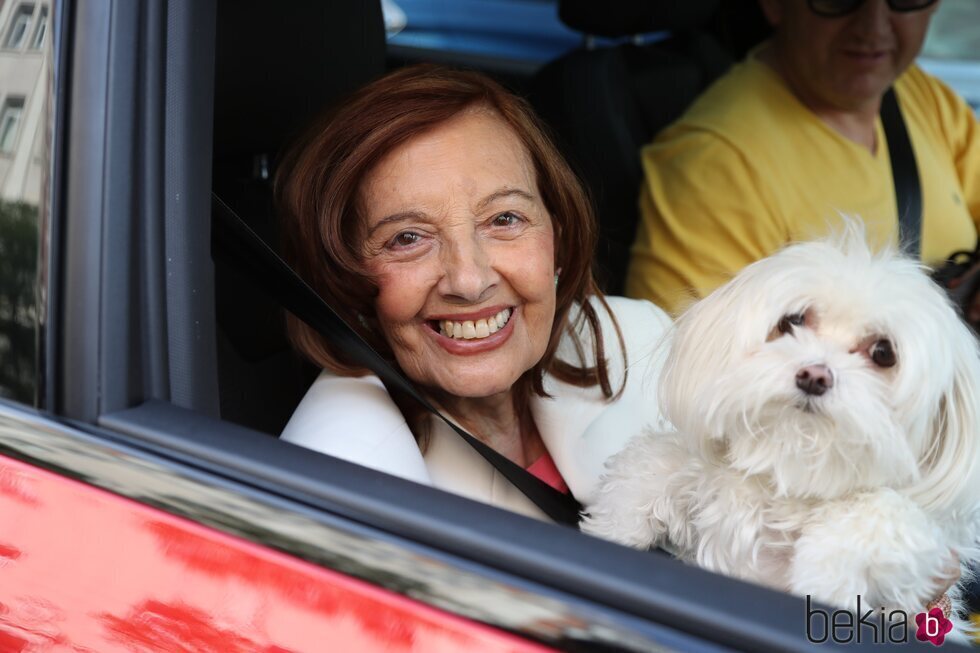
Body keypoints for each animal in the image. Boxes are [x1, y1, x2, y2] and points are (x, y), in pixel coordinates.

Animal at [580, 230, 980, 632]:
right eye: (792, 321)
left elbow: (887, 512)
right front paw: (613, 528)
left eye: (883, 352)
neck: (792, 469)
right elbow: (652, 463)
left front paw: (826, 573)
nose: (814, 376)